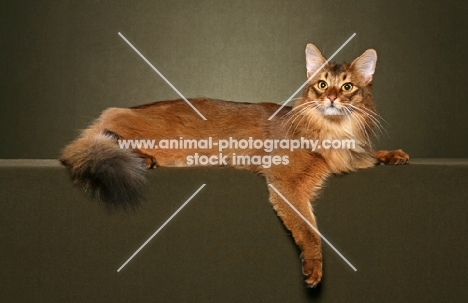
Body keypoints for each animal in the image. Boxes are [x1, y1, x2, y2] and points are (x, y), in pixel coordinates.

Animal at [60, 44, 408, 288]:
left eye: (347, 87)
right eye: (322, 85)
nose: (332, 98)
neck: (335, 132)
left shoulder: (352, 154)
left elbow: (368, 155)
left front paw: (392, 154)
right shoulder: (284, 181)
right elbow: (308, 228)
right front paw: (313, 264)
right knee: (90, 143)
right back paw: (141, 158)